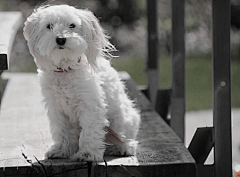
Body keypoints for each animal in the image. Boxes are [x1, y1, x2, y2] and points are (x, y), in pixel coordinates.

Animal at [23, 4, 141, 162]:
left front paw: (87, 154)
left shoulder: (90, 106)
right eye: (49, 26)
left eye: (72, 25)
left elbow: (90, 131)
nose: (61, 39)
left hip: (122, 121)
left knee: (126, 138)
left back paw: (122, 148)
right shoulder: (57, 108)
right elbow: (62, 131)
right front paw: (62, 150)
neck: (66, 70)